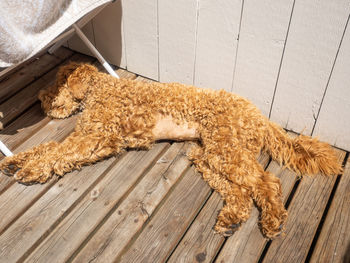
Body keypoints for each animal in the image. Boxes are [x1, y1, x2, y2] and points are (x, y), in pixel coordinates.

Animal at [0, 62, 342, 239]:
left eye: (57, 85)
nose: (39, 99)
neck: (100, 89)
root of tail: (259, 115)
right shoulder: (93, 139)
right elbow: (49, 146)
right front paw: (15, 161)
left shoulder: (96, 137)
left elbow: (57, 152)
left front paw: (30, 169)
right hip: (207, 155)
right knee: (241, 190)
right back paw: (231, 218)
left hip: (225, 149)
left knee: (267, 182)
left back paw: (272, 221)